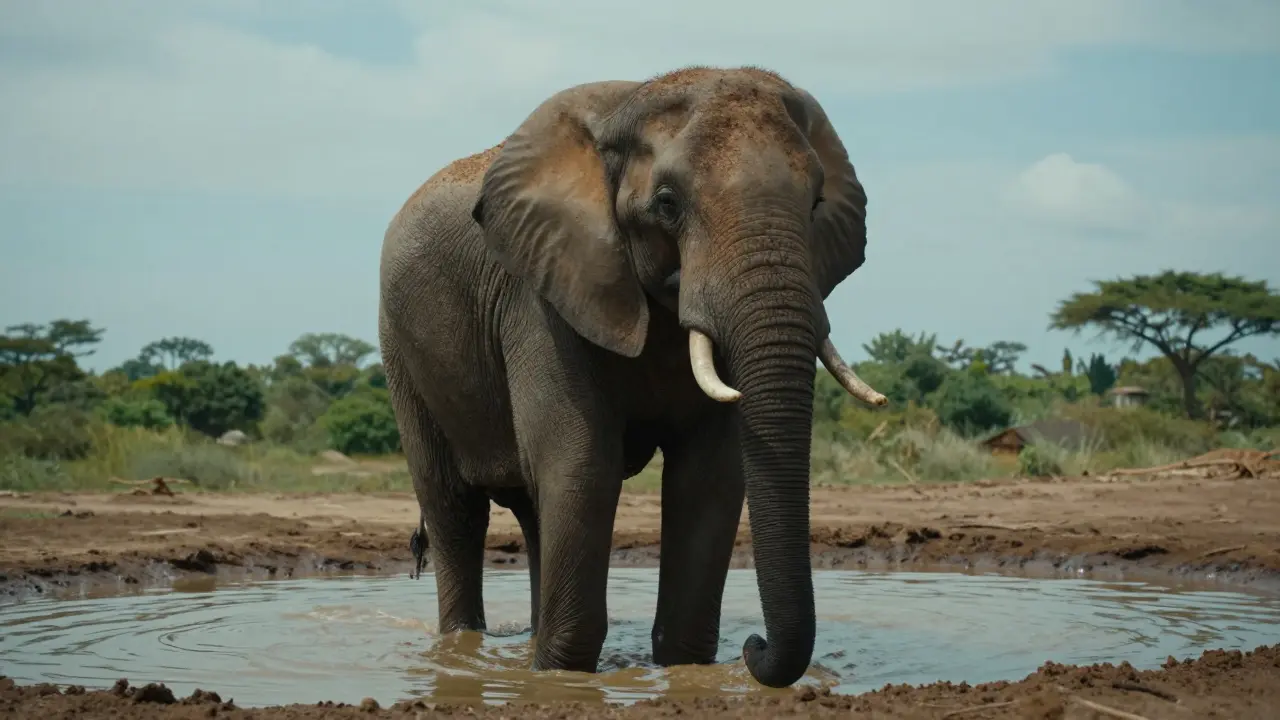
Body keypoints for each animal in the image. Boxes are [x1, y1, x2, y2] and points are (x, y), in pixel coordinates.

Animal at [378, 65, 886, 690]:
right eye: (667, 204)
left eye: (816, 202)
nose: (754, 645)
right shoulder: (543, 295)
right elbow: (583, 464)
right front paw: (561, 681)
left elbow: (709, 478)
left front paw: (683, 671)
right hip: (401, 349)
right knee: (456, 510)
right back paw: (464, 650)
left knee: (535, 510)